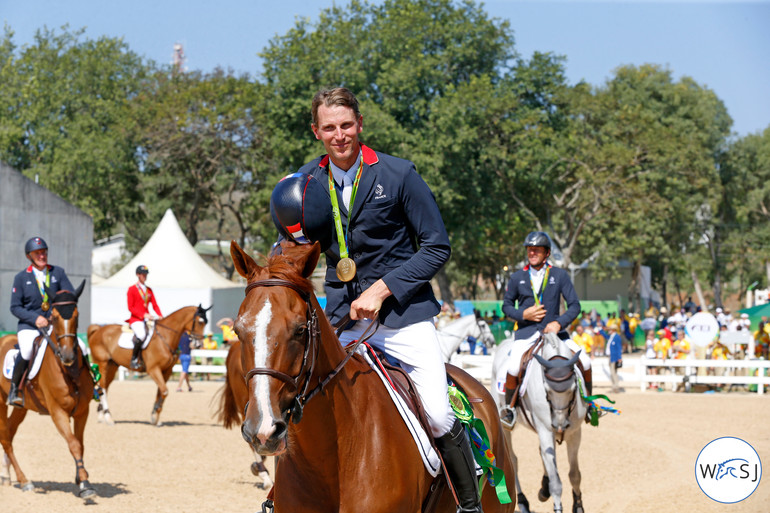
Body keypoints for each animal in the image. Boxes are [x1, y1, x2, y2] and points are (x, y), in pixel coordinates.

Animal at [0, 280, 97, 496]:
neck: (68, 371)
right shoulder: (57, 412)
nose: (68, 355)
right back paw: (24, 480)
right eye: (54, 316)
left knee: (9, 432)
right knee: (5, 438)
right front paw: (85, 484)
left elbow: (81, 444)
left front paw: (81, 477)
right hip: (0, 403)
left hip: (22, 407)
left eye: (76, 315)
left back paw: (7, 476)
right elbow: (73, 444)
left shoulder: (82, 411)